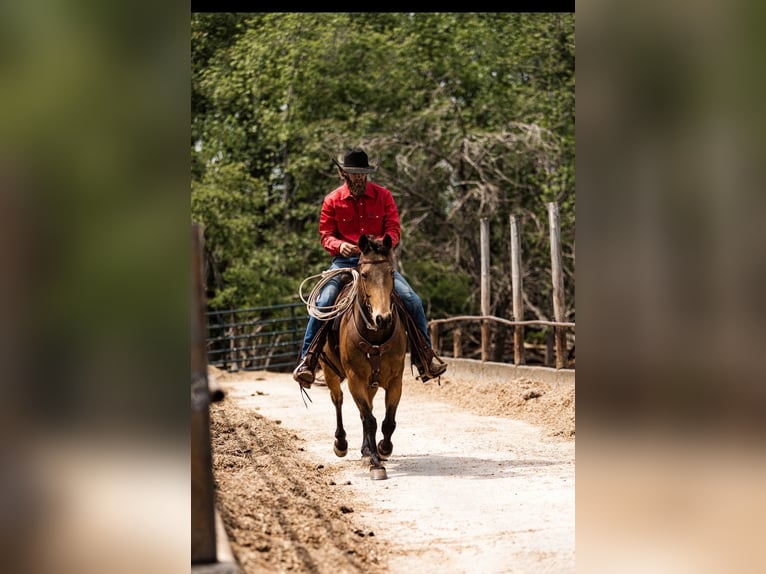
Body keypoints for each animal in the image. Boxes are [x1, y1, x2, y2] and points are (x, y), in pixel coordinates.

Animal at [319, 233, 408, 480]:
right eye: (365, 275)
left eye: (391, 273)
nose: (382, 318)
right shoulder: (355, 380)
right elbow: (370, 421)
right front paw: (376, 464)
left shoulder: (395, 381)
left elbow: (387, 421)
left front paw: (382, 448)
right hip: (330, 373)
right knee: (338, 401)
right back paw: (341, 443)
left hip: (372, 384)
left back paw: (366, 450)